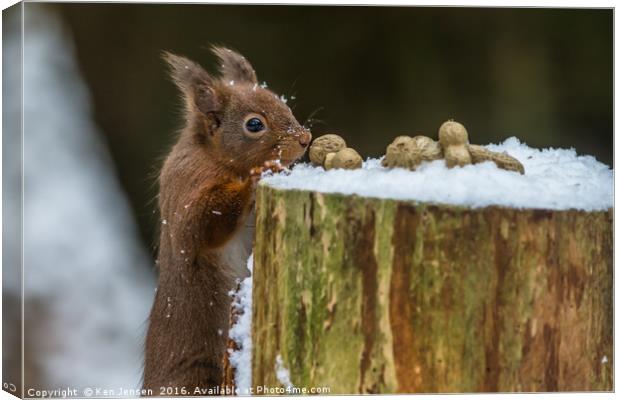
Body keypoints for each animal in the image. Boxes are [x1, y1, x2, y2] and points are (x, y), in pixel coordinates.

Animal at [143, 47, 312, 394]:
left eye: (282, 102)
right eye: (254, 124)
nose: (305, 138)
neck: (216, 158)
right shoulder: (188, 199)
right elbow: (209, 227)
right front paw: (258, 176)